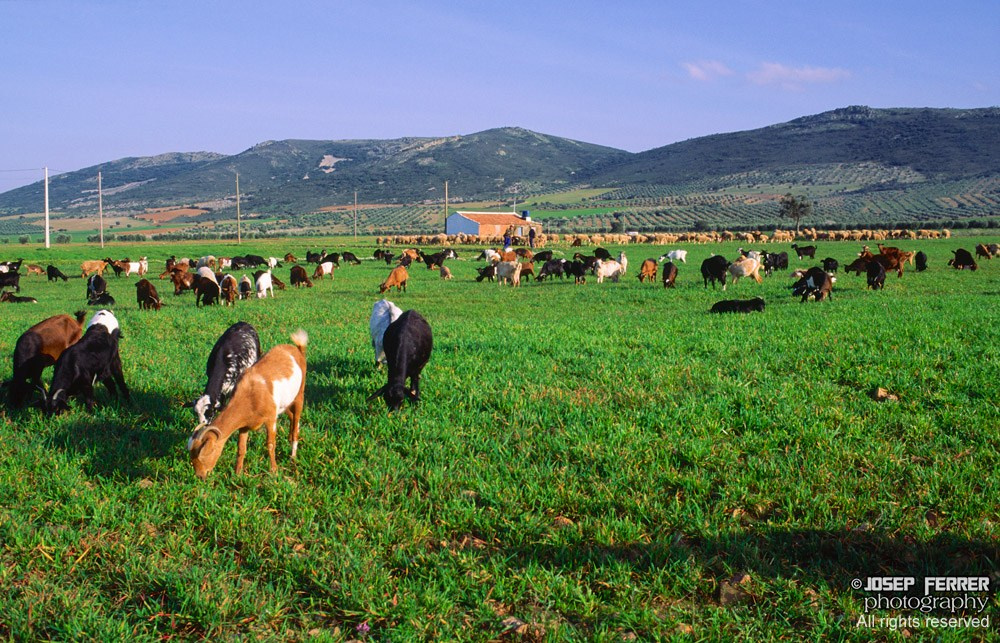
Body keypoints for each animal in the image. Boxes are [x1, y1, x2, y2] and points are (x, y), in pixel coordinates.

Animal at [187, 330, 308, 479]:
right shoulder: (244, 424)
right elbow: (241, 448)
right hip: (284, 403)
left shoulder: (270, 418)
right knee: (291, 416)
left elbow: (270, 445)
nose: (200, 476)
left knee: (296, 418)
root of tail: (297, 349)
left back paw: (293, 454)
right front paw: (238, 473)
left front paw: (274, 472)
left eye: (203, 455)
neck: (250, 395)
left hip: (299, 394)